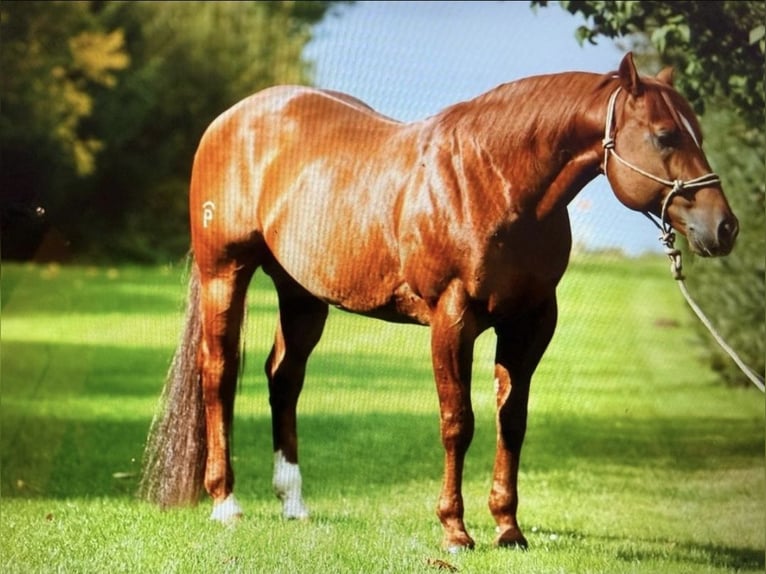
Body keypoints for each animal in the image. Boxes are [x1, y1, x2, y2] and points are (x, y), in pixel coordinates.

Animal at [140, 53, 738, 550]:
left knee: (283, 378)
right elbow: (459, 422)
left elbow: (512, 420)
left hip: (302, 293)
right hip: (225, 273)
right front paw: (455, 531)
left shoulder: (530, 323)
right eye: (664, 135)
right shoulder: (453, 318)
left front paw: (509, 529)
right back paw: (226, 502)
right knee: (219, 373)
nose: (724, 226)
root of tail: (230, 119)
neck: (493, 180)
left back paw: (293, 502)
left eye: (695, 131)